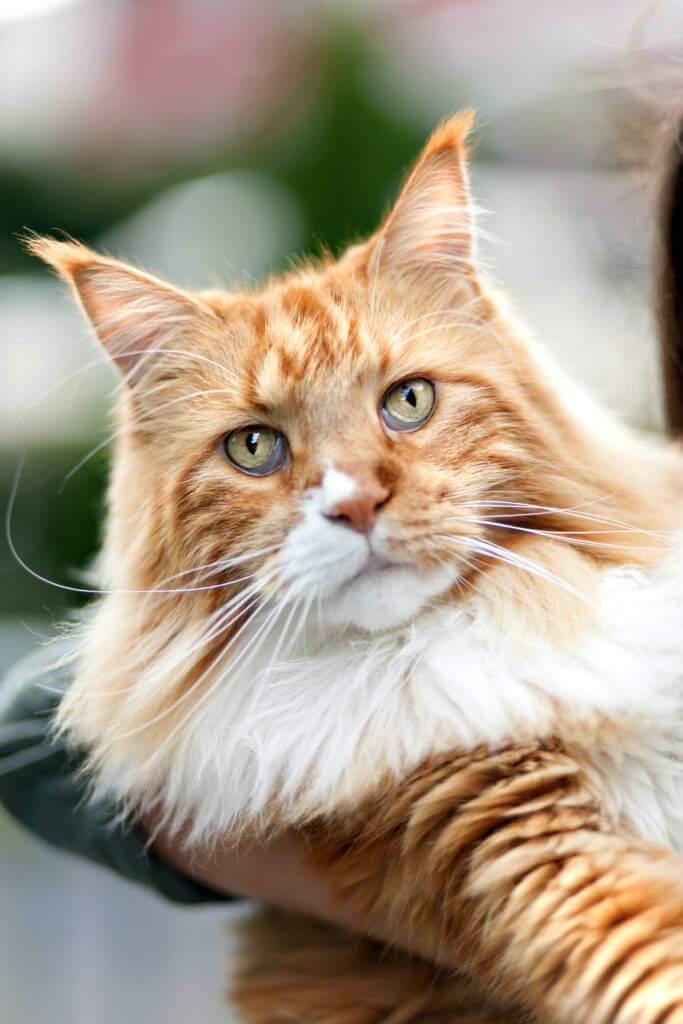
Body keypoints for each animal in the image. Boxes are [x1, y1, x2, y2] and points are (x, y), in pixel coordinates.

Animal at [29, 110, 683, 1015]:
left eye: (408, 401)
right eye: (254, 447)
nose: (357, 505)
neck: (448, 651)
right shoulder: (511, 836)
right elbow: (652, 967)